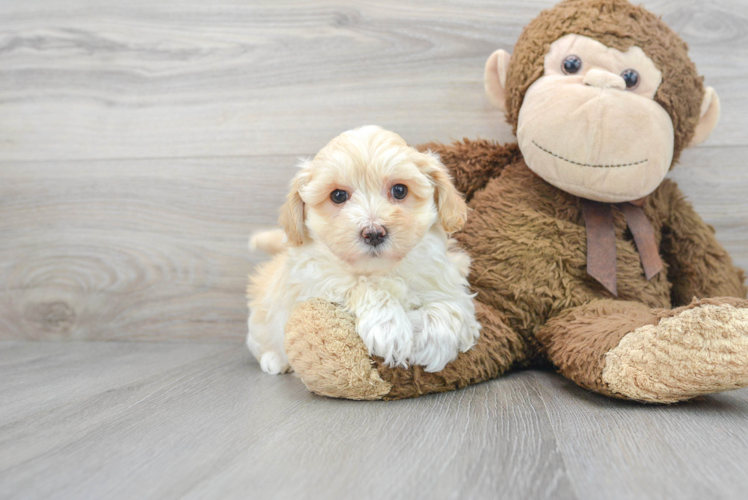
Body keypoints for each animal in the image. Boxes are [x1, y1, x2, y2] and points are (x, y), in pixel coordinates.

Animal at [245, 125, 480, 376]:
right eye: (338, 195)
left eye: (399, 190)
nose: (373, 233)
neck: (380, 269)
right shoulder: (314, 282)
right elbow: (362, 286)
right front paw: (390, 328)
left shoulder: (446, 275)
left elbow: (453, 304)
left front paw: (434, 341)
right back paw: (274, 360)